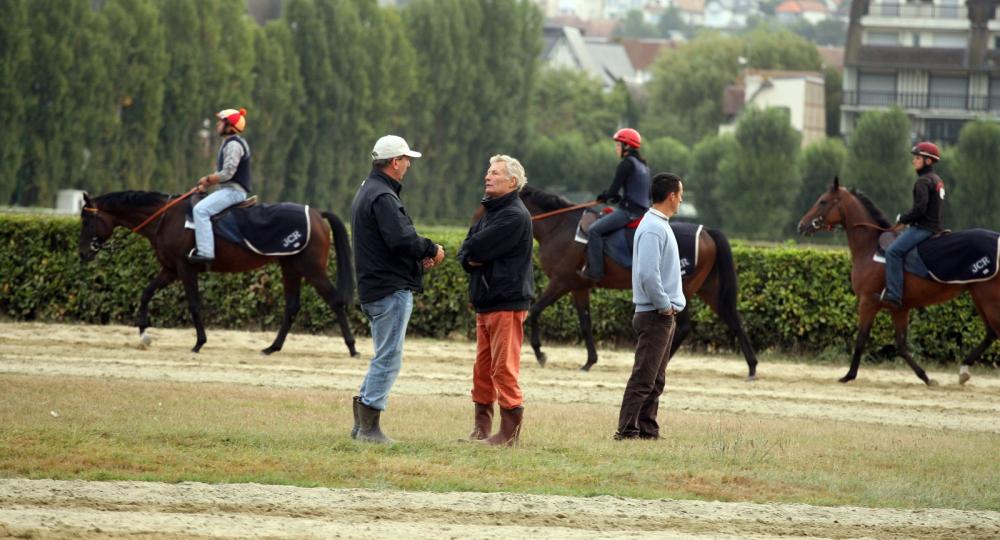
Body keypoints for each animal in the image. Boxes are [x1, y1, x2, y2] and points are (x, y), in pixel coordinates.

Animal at [80, 191, 358, 358]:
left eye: (85, 220)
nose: (83, 252)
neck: (166, 217)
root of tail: (317, 213)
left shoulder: (185, 269)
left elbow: (194, 304)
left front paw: (199, 342)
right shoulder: (170, 270)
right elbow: (146, 293)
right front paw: (143, 333)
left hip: (312, 269)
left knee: (335, 301)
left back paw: (352, 347)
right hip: (290, 267)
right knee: (292, 306)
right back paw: (272, 347)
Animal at [496, 185, 752, 376]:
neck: (559, 226)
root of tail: (707, 230)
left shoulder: (561, 281)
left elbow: (535, 310)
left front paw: (540, 354)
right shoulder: (579, 287)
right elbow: (585, 323)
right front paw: (589, 361)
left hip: (684, 289)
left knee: (684, 326)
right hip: (707, 289)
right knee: (733, 319)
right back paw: (752, 366)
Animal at [796, 179, 1000, 386]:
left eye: (822, 201)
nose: (801, 225)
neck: (870, 248)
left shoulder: (868, 303)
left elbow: (861, 339)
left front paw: (848, 375)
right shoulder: (899, 308)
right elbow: (901, 345)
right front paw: (925, 377)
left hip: (988, 299)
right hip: (979, 297)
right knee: (991, 333)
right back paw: (964, 370)